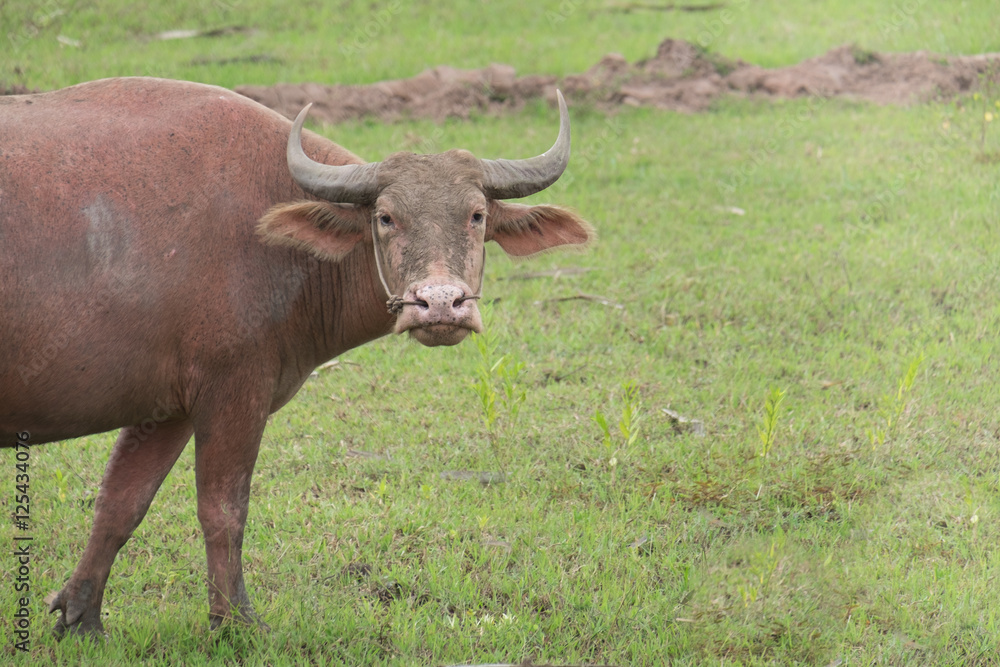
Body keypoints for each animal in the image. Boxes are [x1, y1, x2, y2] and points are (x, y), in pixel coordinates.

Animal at [0, 78, 592, 636]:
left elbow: (121, 503)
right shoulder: (233, 390)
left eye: (476, 215)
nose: (441, 303)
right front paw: (236, 621)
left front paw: (81, 617)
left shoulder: (167, 409)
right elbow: (224, 509)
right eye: (385, 217)